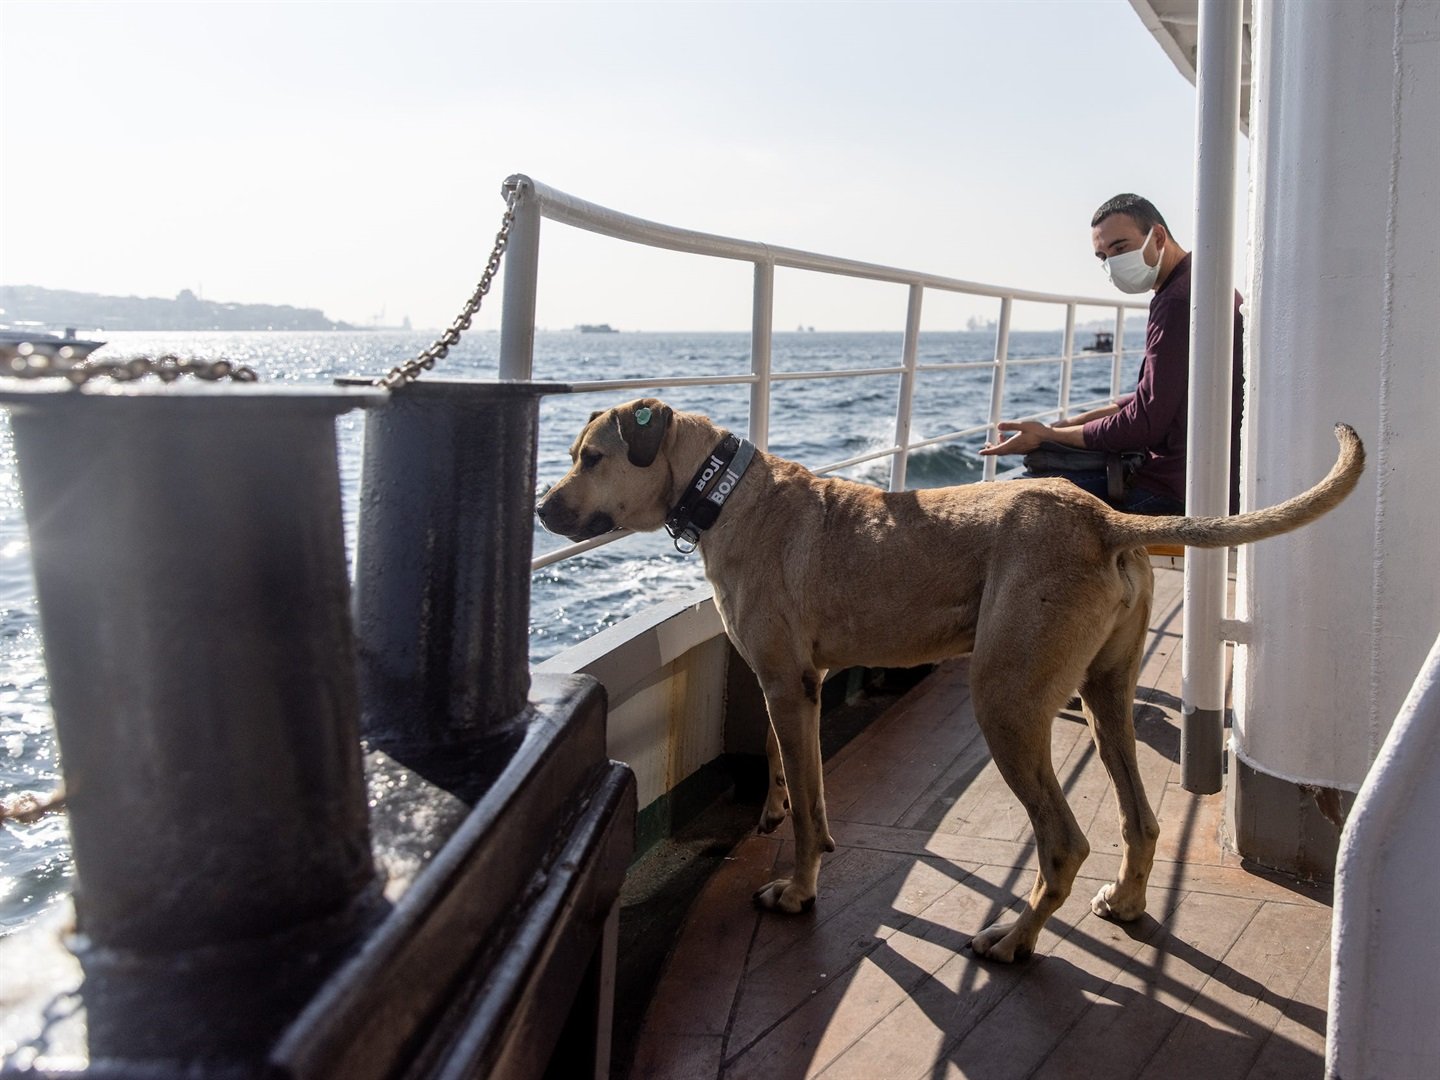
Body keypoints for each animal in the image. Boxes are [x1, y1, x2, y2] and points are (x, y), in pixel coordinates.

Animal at [538, 400, 1359, 961]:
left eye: (591, 456)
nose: (542, 508)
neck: (726, 490)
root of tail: (1104, 521)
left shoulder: (784, 681)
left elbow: (803, 801)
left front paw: (799, 891)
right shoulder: (794, 682)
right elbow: (794, 774)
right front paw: (794, 820)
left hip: (1005, 702)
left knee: (1064, 842)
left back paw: (1015, 939)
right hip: (1105, 697)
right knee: (1140, 819)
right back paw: (1125, 903)